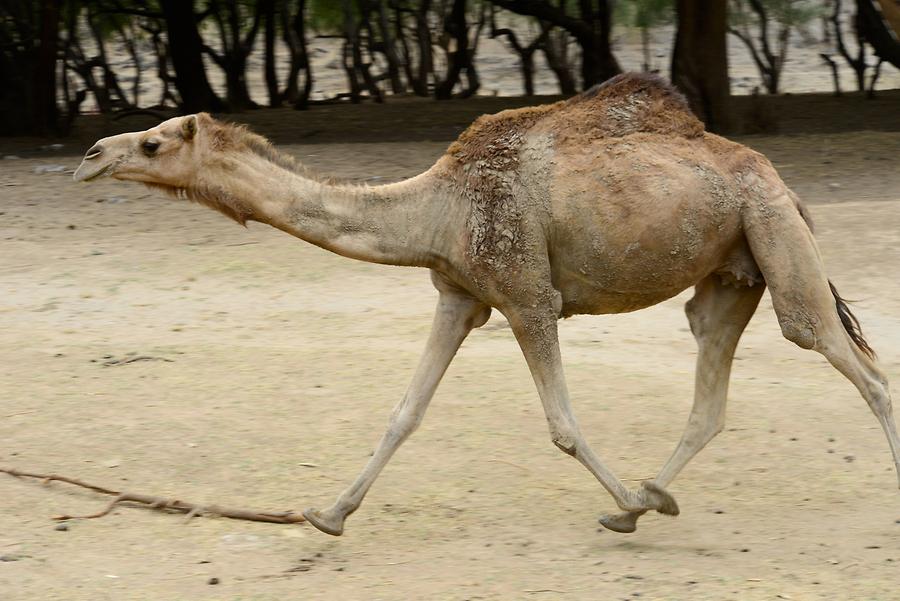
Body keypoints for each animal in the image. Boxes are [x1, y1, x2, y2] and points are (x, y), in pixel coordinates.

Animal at [72, 72, 900, 536]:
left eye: (153, 143)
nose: (91, 154)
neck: (434, 209)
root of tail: (779, 178)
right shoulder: (459, 295)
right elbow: (404, 412)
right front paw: (328, 514)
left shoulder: (529, 295)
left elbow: (563, 425)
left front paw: (624, 502)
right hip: (733, 269)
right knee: (712, 382)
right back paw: (651, 494)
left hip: (774, 232)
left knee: (855, 362)